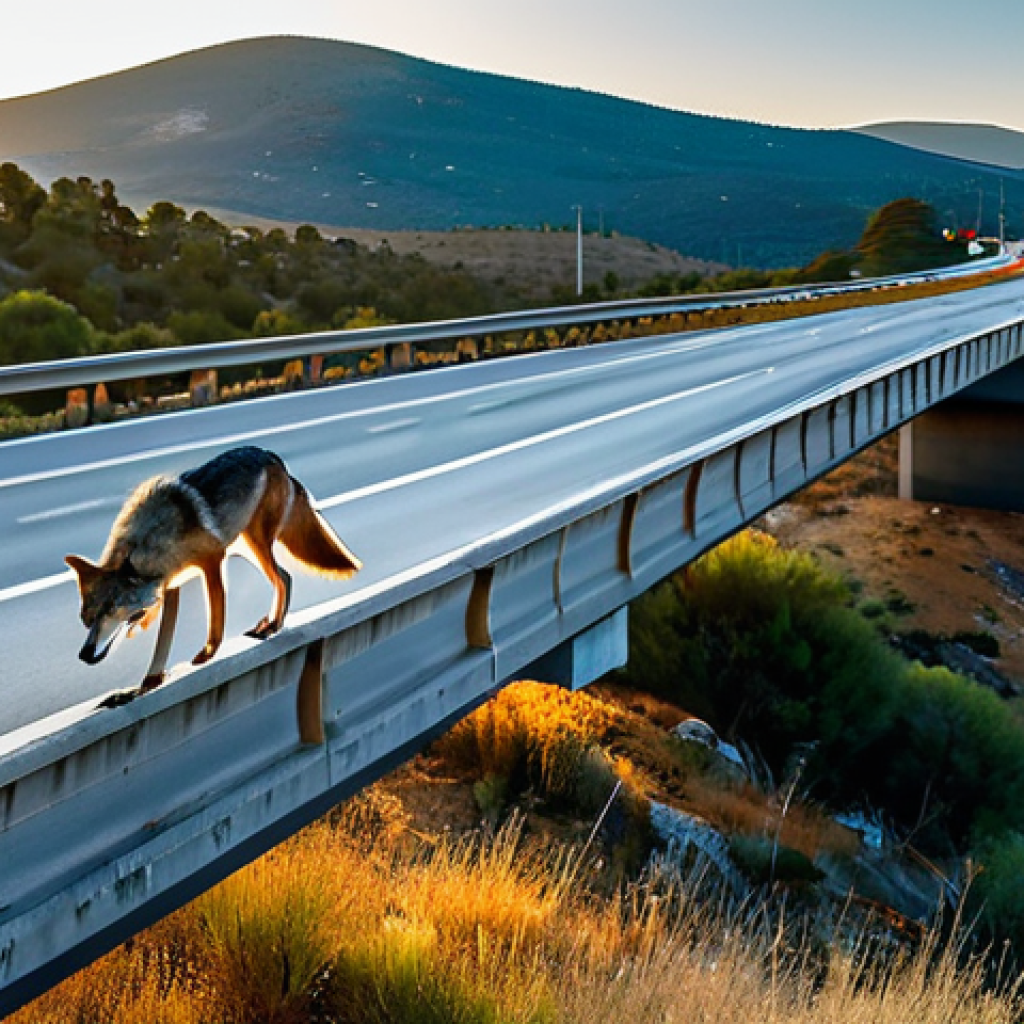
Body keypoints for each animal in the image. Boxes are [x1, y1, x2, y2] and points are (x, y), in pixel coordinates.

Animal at [66, 446, 361, 695]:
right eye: (87, 618)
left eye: (112, 611)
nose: (84, 654)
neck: (152, 540)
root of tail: (271, 455)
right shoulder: (172, 584)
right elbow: (163, 641)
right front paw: (149, 682)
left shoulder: (212, 561)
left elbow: (215, 622)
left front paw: (206, 655)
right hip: (246, 549)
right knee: (286, 577)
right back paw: (270, 624)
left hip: (253, 546)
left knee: (282, 579)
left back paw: (272, 626)